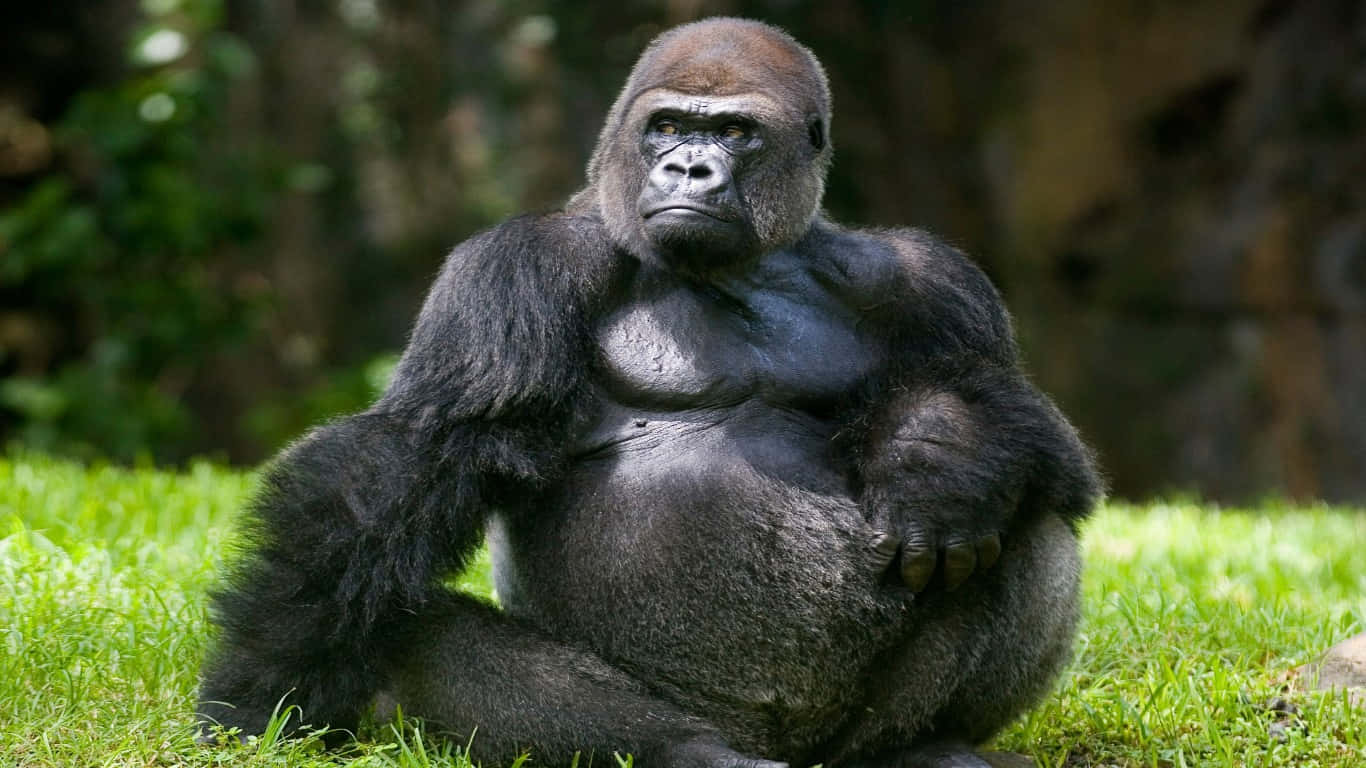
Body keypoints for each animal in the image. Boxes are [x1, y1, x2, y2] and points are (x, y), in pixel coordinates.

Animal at [198, 18, 1100, 768]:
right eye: (666, 126)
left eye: (733, 133)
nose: (688, 168)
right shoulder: (514, 266)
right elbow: (417, 454)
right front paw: (261, 693)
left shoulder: (928, 279)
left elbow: (1026, 421)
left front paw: (935, 450)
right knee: (419, 635)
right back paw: (687, 753)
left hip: (840, 737)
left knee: (1028, 515)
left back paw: (921, 744)